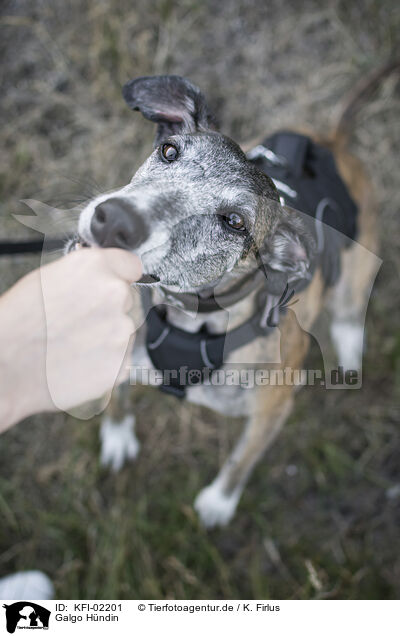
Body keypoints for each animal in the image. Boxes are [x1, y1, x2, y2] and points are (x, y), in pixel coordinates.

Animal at [69, 67, 394, 528]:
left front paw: (219, 503)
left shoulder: (272, 410)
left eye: (235, 222)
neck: (190, 318)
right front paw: (116, 435)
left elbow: (242, 460)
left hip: (355, 271)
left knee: (349, 313)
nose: (112, 220)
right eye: (169, 151)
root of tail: (332, 142)